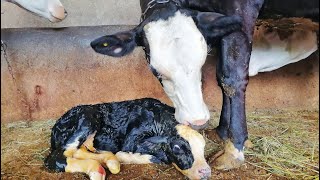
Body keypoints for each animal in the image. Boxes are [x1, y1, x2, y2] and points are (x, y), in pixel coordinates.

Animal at [43, 98, 211, 180]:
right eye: (177, 148)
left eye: (203, 147)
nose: (206, 172)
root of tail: (57, 125)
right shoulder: (132, 140)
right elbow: (156, 158)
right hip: (86, 118)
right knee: (56, 158)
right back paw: (98, 170)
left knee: (80, 150)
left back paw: (108, 162)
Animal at [89, 0, 318, 172]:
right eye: (156, 71)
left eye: (201, 60)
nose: (197, 120)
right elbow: (220, 75)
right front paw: (223, 131)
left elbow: (231, 75)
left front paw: (234, 148)